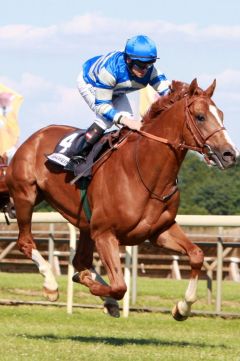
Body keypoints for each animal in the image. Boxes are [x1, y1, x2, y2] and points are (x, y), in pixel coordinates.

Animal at [5, 79, 238, 318]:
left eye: (221, 114)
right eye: (200, 116)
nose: (230, 154)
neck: (144, 172)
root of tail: (35, 137)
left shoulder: (160, 231)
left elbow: (197, 255)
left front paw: (182, 307)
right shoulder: (105, 233)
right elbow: (119, 286)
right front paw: (90, 284)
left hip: (85, 224)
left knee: (80, 260)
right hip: (26, 195)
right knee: (26, 242)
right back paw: (51, 286)